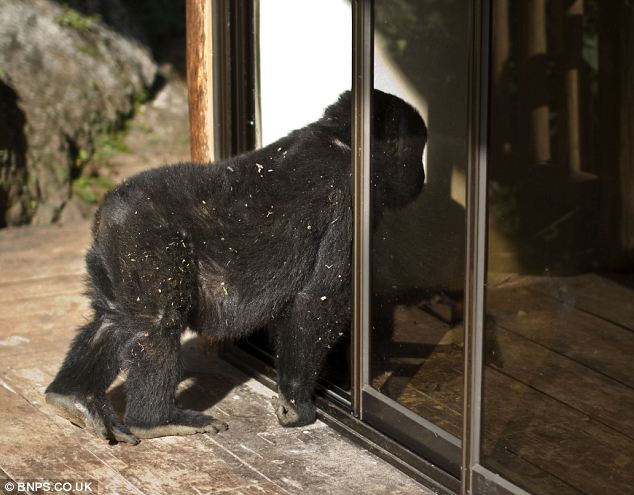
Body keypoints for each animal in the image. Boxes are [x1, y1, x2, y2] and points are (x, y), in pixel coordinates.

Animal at [44, 90, 424, 446]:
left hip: (113, 250)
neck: (340, 138)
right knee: (156, 323)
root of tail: (109, 211)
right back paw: (154, 419)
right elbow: (320, 301)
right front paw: (295, 400)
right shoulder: (350, 202)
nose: (421, 175)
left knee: (112, 318)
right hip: (146, 239)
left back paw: (72, 397)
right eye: (416, 151)